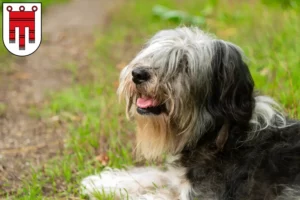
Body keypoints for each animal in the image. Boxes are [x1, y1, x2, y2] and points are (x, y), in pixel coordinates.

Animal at [82, 27, 300, 200]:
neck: (218, 134)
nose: (138, 74)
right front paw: (102, 182)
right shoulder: (179, 178)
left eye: (184, 64)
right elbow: (156, 174)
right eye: (156, 55)